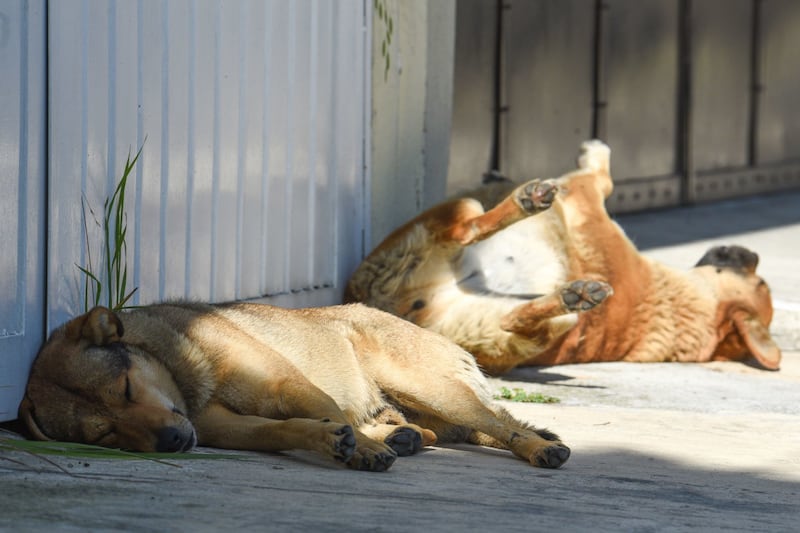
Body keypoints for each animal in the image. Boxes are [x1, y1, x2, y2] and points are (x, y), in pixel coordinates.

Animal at [17, 302, 568, 472]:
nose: (173, 442)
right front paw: (331, 441)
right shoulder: (230, 429)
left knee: (500, 423)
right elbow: (283, 431)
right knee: (426, 429)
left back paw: (540, 448)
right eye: (104, 434)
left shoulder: (286, 387)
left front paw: (360, 449)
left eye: (129, 388)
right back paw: (402, 437)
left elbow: (333, 416)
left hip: (428, 386)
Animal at [346, 141, 780, 374]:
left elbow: (599, 178)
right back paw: (574, 294)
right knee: (515, 318)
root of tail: (391, 308)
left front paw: (593, 155)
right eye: (761, 279)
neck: (676, 303)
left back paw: (528, 208)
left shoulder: (587, 201)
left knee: (469, 231)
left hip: (443, 229)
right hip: (519, 331)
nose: (752, 251)